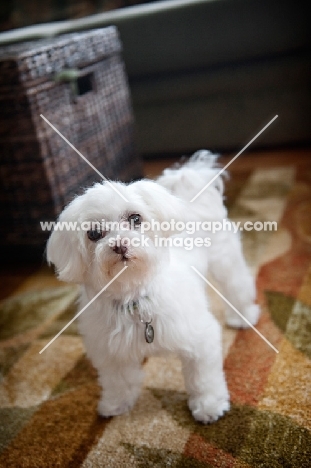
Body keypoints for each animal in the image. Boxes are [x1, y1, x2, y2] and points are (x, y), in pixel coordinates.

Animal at [47, 151, 260, 424]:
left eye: (135, 218)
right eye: (93, 233)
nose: (119, 245)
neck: (135, 298)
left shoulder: (201, 340)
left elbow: (203, 379)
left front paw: (209, 406)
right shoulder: (110, 352)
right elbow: (119, 382)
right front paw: (116, 405)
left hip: (226, 261)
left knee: (238, 286)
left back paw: (243, 316)